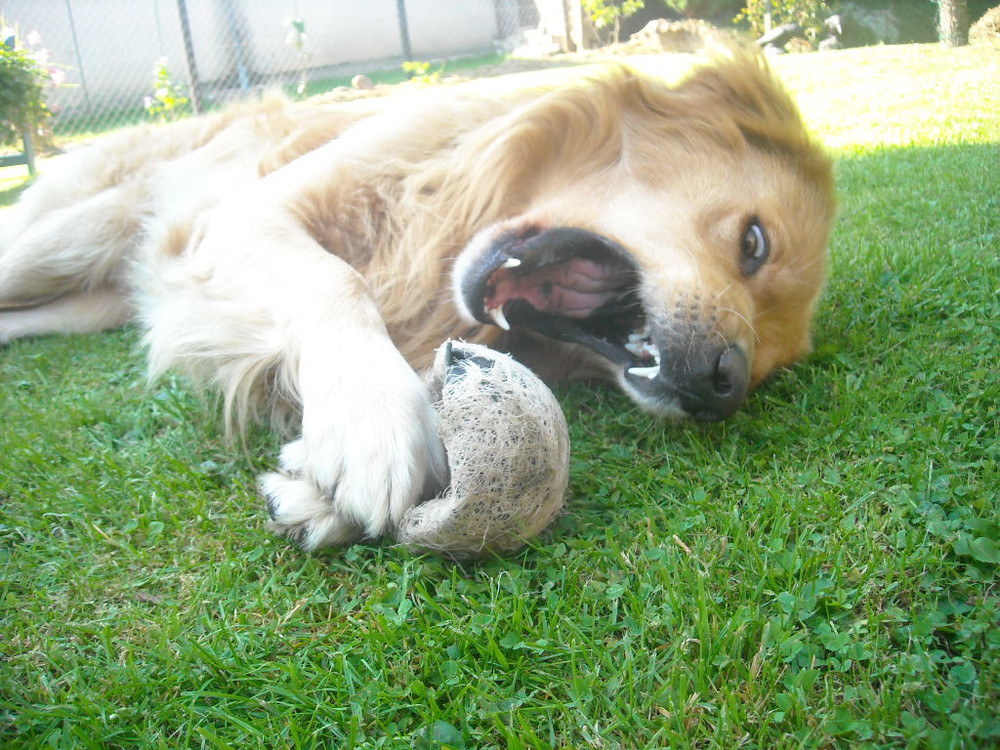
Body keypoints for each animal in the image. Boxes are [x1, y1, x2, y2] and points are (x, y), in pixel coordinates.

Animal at [0, 48, 836, 552]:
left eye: (765, 370)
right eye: (753, 244)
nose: (722, 386)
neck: (445, 213)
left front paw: (313, 494)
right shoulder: (243, 216)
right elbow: (337, 279)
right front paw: (369, 423)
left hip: (85, 299)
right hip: (64, 241)